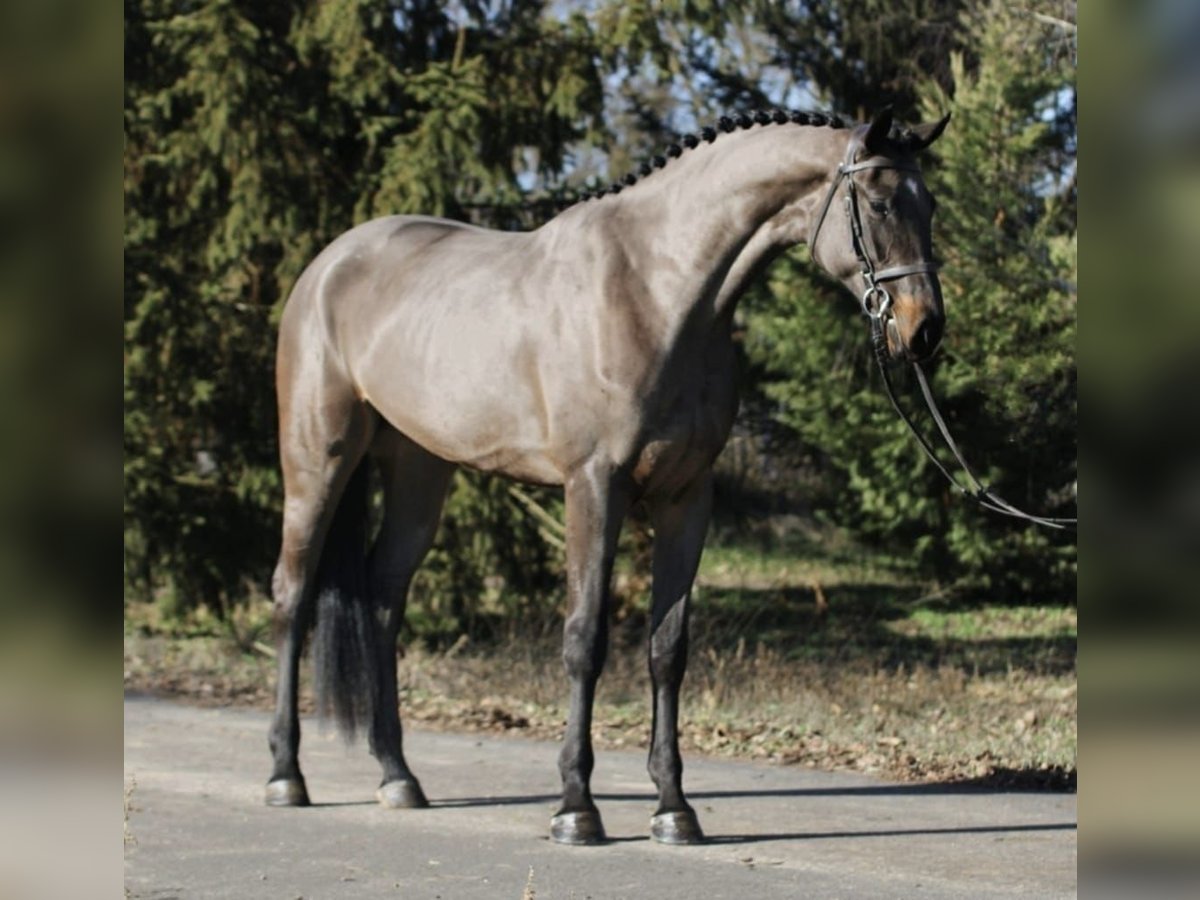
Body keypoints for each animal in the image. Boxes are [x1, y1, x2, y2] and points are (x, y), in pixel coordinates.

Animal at [265, 106, 950, 844]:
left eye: (930, 205)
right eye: (879, 203)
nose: (924, 331)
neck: (657, 291)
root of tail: (329, 264)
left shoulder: (687, 497)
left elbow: (667, 648)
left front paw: (674, 809)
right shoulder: (594, 486)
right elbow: (584, 639)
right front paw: (575, 807)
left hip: (421, 470)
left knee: (383, 598)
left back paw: (398, 777)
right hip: (317, 460)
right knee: (292, 595)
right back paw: (285, 775)